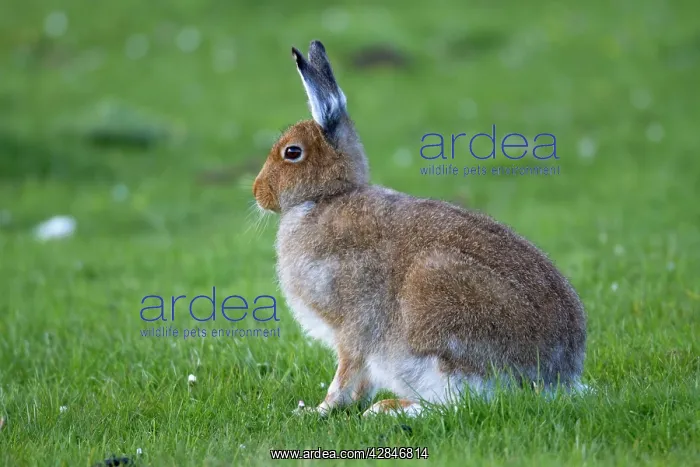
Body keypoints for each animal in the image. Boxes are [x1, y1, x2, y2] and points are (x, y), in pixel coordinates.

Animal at [252, 40, 587, 417]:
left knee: (460, 401)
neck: (326, 197)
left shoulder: (353, 325)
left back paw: (385, 410)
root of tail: (554, 377)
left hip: (437, 307)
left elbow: (346, 373)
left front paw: (318, 410)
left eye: (292, 152)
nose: (257, 192)